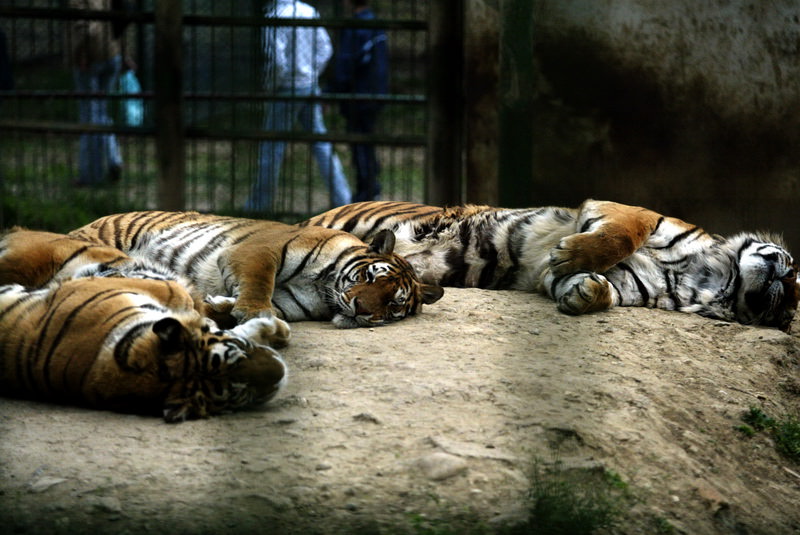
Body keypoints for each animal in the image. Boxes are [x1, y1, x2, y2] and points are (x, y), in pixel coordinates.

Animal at [69, 211, 444, 328]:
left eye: (393, 303)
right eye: (369, 277)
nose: (361, 309)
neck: (321, 288)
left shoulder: (289, 304)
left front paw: (222, 306)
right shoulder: (259, 250)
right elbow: (259, 283)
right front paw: (251, 310)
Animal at [300, 199, 800, 328]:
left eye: (788, 314)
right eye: (798, 275)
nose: (789, 296)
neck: (708, 276)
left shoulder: (634, 284)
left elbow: (600, 290)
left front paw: (583, 291)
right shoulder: (634, 213)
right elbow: (620, 234)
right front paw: (569, 255)